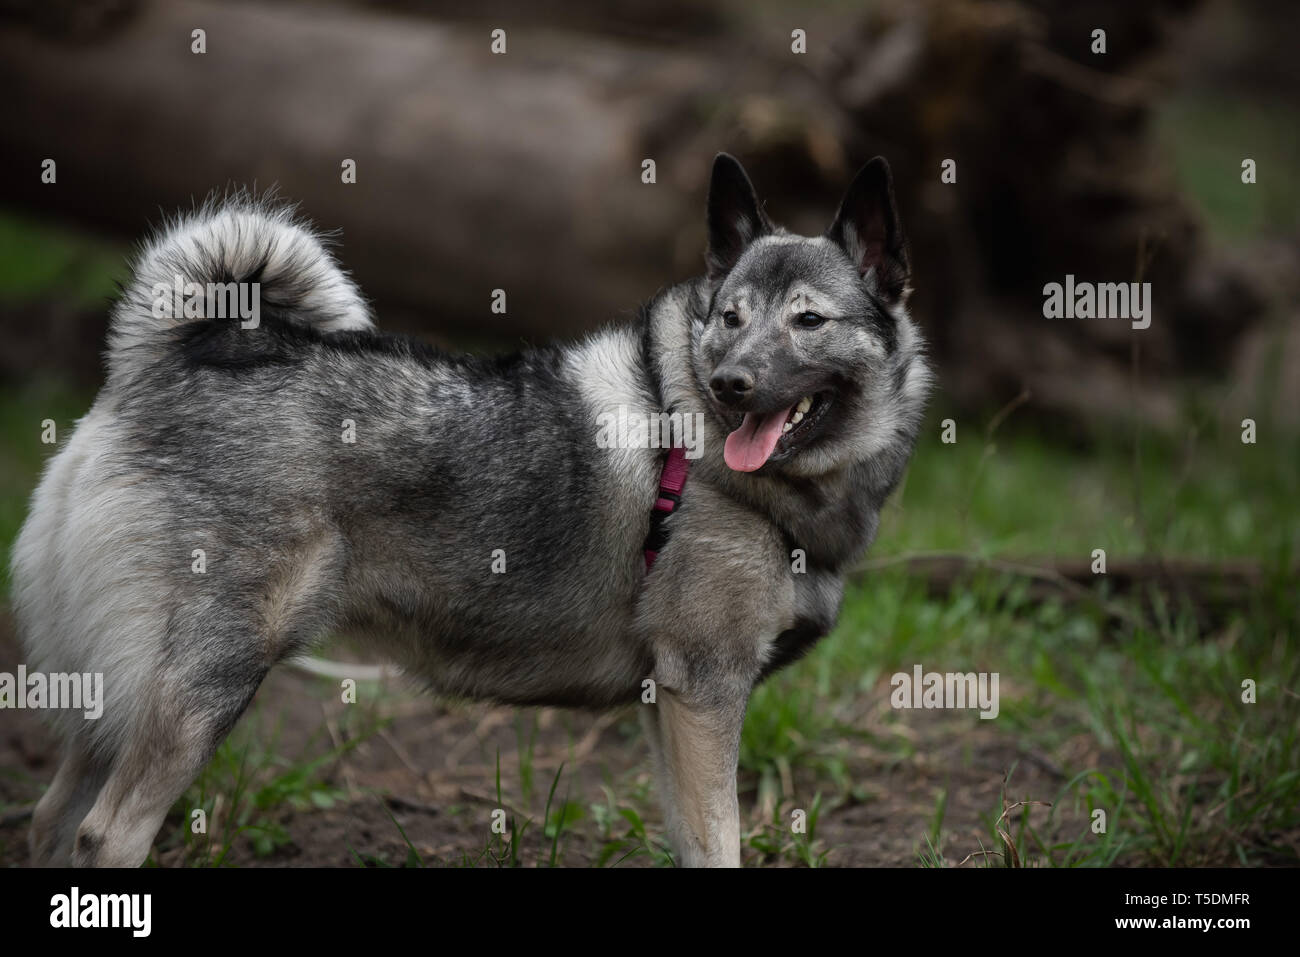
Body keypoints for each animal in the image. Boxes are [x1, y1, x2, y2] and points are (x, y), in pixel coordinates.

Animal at [10, 151, 925, 868]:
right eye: (730, 318)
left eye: (809, 320)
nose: (732, 382)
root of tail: (159, 365)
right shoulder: (705, 692)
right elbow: (718, 842)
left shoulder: (672, 710)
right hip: (208, 681)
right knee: (106, 834)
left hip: (121, 699)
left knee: (52, 820)